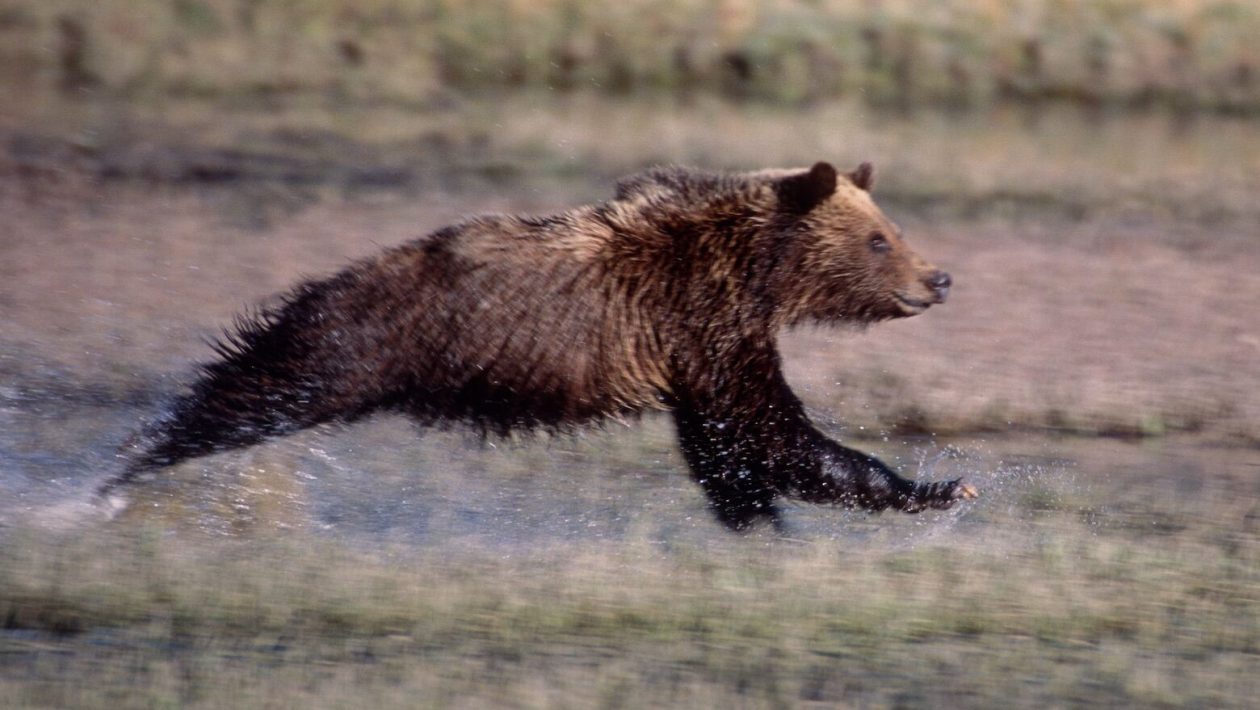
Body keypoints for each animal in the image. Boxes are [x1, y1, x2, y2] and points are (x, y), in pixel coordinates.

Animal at [96, 161, 977, 531]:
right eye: (878, 238)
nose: (938, 278)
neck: (756, 266)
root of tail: (329, 283)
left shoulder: (694, 349)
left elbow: (725, 445)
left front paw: (756, 519)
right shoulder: (703, 316)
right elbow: (774, 431)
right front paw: (940, 487)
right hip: (352, 344)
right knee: (253, 390)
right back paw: (120, 471)